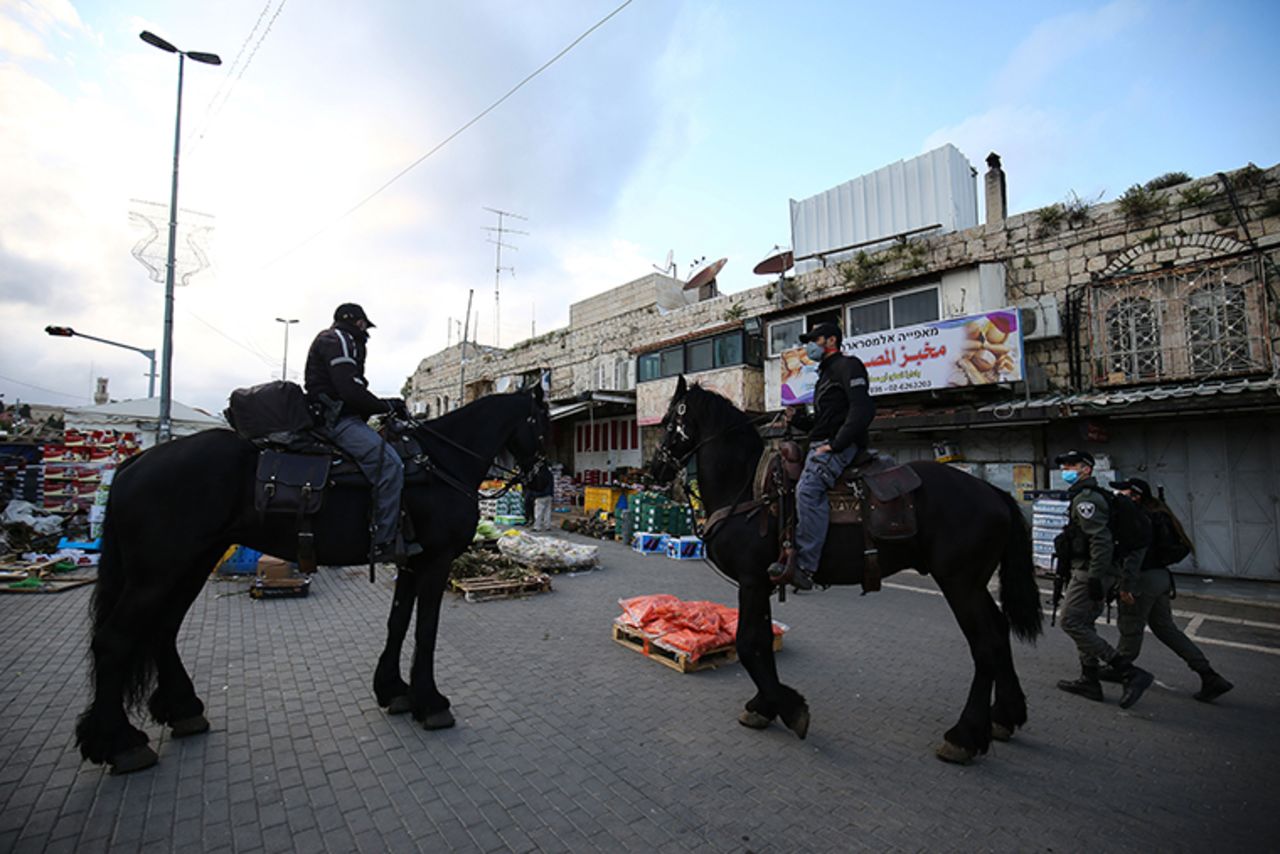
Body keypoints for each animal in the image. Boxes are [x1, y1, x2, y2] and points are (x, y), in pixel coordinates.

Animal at [77, 386, 550, 773]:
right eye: (543, 424)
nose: (545, 481)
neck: (438, 462)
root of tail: (135, 463)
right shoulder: (435, 561)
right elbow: (427, 631)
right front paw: (429, 702)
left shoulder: (410, 562)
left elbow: (398, 623)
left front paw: (393, 689)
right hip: (157, 573)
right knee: (114, 641)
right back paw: (119, 742)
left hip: (190, 563)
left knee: (163, 629)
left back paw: (182, 709)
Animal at [650, 381, 1039, 763]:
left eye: (669, 423)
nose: (654, 472)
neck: (747, 488)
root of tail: (995, 493)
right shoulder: (762, 582)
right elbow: (759, 640)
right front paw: (764, 706)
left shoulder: (751, 580)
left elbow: (748, 643)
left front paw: (789, 709)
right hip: (973, 584)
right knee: (999, 632)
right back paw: (1005, 715)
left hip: (960, 584)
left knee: (985, 643)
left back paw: (965, 736)